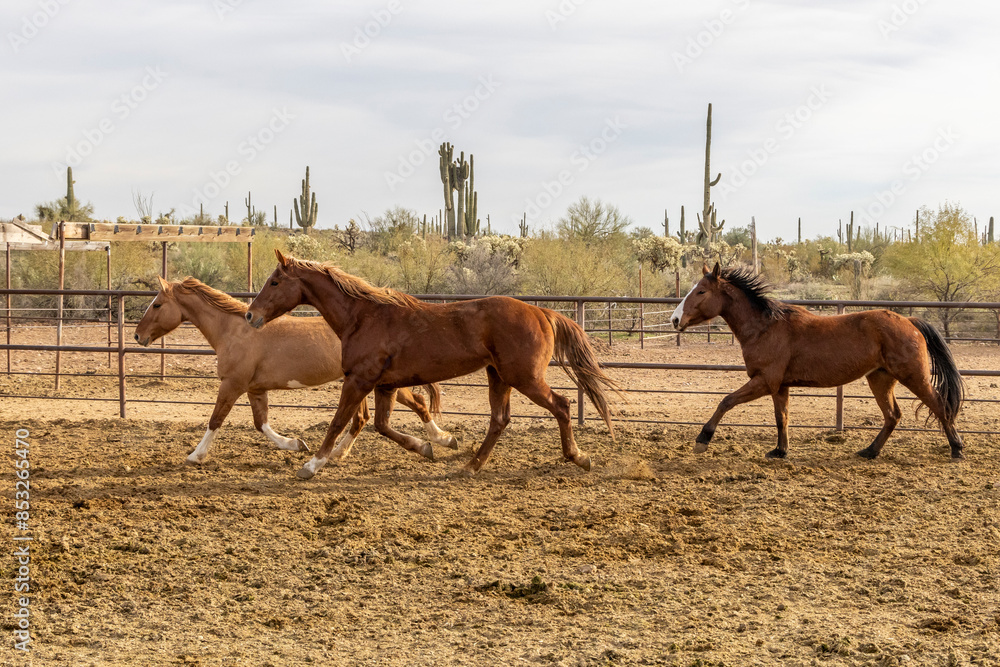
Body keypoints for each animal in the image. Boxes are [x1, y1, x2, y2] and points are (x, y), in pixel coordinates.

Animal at [133, 276, 456, 465]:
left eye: (157, 304)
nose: (137, 336)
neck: (234, 332)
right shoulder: (254, 388)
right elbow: (261, 423)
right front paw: (295, 444)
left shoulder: (232, 384)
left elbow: (215, 420)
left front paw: (195, 456)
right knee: (366, 418)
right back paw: (341, 453)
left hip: (378, 382)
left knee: (418, 402)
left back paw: (442, 440)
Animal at [245, 249, 622, 479]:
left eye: (275, 281)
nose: (251, 315)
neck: (363, 316)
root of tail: (542, 312)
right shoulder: (384, 385)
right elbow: (382, 426)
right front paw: (429, 445)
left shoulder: (359, 380)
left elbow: (339, 422)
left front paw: (311, 465)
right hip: (498, 376)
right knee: (500, 420)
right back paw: (470, 466)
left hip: (524, 377)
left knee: (562, 405)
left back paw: (578, 457)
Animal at [670, 263, 965, 460]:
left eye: (701, 291)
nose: (675, 319)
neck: (765, 327)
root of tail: (910, 321)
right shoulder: (780, 386)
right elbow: (782, 417)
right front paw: (780, 451)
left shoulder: (764, 381)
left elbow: (726, 401)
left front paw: (702, 439)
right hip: (880, 378)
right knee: (893, 415)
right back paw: (869, 451)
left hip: (913, 377)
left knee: (939, 405)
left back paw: (956, 449)